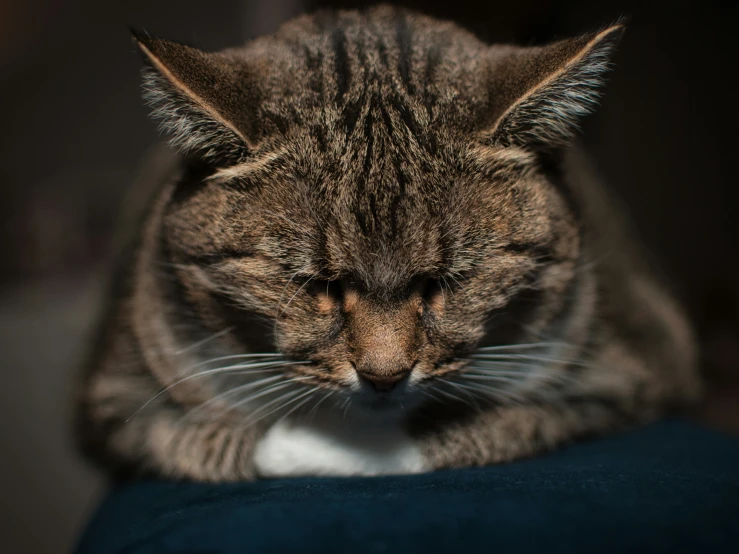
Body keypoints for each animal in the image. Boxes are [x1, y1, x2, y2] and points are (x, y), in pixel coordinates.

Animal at [76, 4, 704, 478]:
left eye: (448, 280)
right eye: (315, 284)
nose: (384, 377)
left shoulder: (629, 371)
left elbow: (493, 424)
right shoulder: (116, 399)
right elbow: (198, 441)